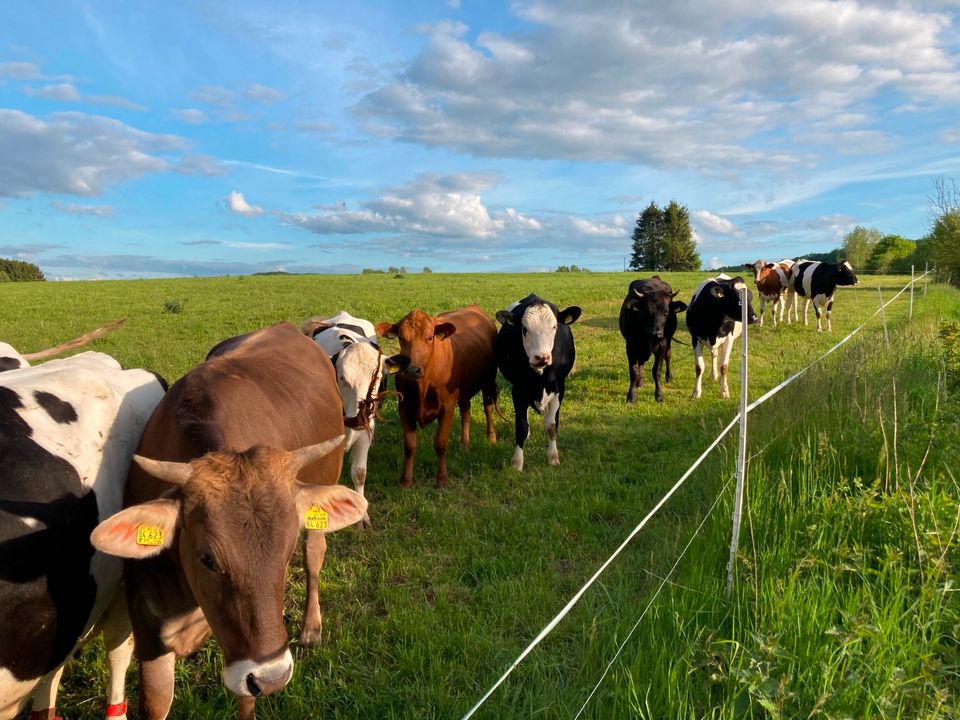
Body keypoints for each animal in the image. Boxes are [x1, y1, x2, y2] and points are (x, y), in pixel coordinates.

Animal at [91, 324, 368, 720]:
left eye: (285, 554)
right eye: (208, 559)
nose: (272, 677)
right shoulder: (147, 629)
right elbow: (156, 702)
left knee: (315, 555)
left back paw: (310, 627)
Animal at [298, 310, 406, 524]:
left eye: (378, 377)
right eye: (342, 377)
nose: (358, 417)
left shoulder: (367, 427)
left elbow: (359, 472)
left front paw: (362, 516)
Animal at [374, 304, 498, 490]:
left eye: (430, 337)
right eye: (401, 338)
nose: (412, 370)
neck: (423, 385)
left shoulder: (447, 406)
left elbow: (440, 443)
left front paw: (442, 480)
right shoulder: (404, 407)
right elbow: (410, 445)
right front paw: (405, 481)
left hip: (489, 380)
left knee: (488, 408)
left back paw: (491, 437)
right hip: (464, 390)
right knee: (466, 411)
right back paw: (464, 444)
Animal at [498, 294, 580, 472]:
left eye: (554, 327)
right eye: (524, 329)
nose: (541, 357)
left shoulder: (559, 388)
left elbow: (551, 425)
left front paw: (553, 457)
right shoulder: (518, 389)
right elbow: (521, 426)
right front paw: (517, 463)